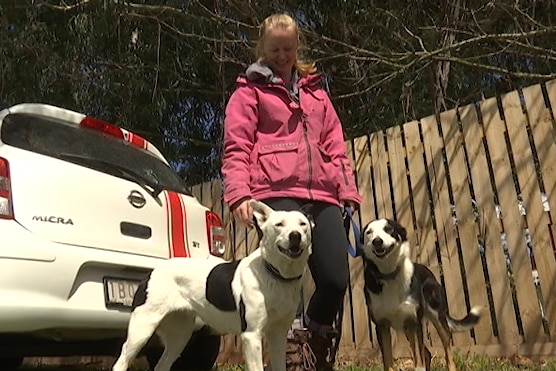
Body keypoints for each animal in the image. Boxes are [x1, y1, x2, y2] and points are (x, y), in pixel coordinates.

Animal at [113, 201, 312, 371]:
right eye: (279, 224)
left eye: (303, 224)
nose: (295, 235)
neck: (274, 273)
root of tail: (153, 272)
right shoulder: (252, 335)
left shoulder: (278, 335)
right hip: (142, 328)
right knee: (121, 362)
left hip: (179, 335)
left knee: (162, 365)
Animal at [358, 219, 480, 370]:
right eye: (369, 232)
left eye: (388, 229)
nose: (377, 241)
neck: (389, 275)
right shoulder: (382, 326)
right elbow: (388, 361)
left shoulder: (413, 322)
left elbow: (419, 361)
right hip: (406, 329)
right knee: (427, 353)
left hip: (437, 318)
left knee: (447, 350)